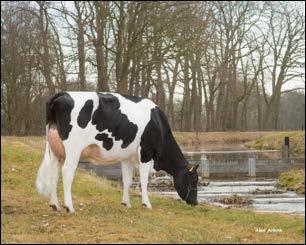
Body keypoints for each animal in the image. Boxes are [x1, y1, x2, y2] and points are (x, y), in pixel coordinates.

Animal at [35, 92, 200, 212]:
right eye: (194, 180)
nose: (196, 202)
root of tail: (60, 94)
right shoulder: (146, 153)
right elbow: (143, 180)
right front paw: (146, 204)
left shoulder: (127, 157)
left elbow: (127, 180)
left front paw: (126, 203)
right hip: (73, 149)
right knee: (67, 171)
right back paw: (69, 207)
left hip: (55, 150)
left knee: (54, 173)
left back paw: (55, 205)